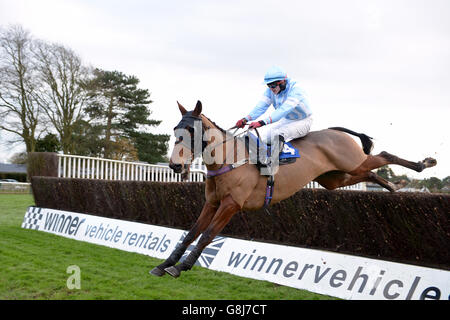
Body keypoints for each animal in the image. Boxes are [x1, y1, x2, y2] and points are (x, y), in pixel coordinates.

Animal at [149, 100, 438, 278]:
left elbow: (207, 234)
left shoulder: (231, 204)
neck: (228, 159)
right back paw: (394, 185)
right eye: (175, 128)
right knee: (368, 173)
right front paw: (165, 264)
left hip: (351, 162)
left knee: (384, 155)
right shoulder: (212, 203)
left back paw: (423, 164)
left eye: (191, 130)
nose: (174, 164)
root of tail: (334, 131)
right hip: (335, 178)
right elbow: (191, 233)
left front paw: (182, 266)